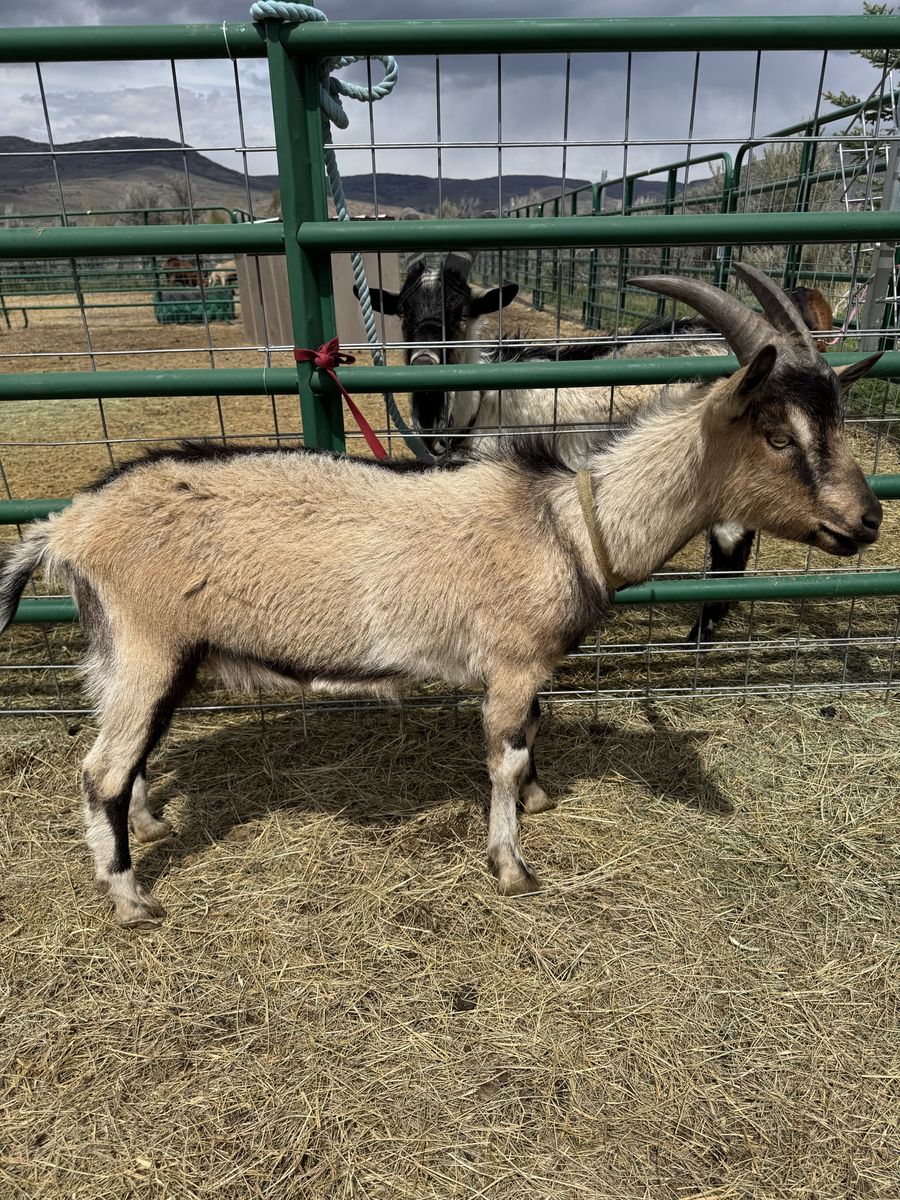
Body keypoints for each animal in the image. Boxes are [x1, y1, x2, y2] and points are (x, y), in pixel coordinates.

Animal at [369, 257, 838, 644]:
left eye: (461, 313)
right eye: (403, 314)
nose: (425, 367)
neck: (482, 402)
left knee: (730, 543)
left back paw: (699, 636)